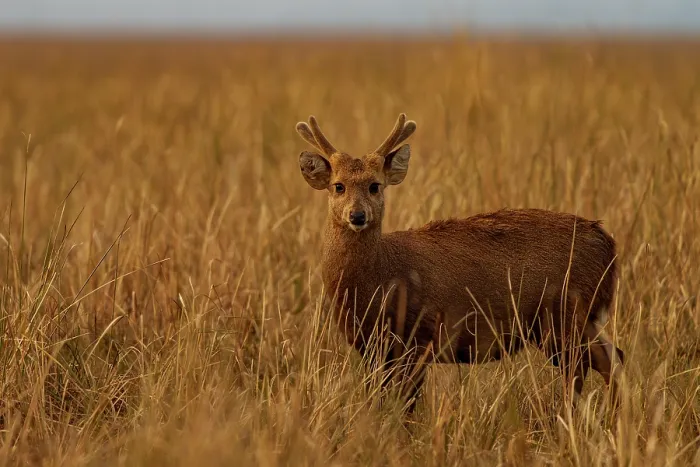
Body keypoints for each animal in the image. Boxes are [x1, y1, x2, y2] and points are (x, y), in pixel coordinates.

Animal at [295, 113, 624, 414]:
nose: (358, 215)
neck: (380, 278)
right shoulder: (372, 347)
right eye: (338, 186)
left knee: (586, 367)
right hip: (574, 317)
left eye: (375, 186)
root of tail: (606, 243)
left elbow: (407, 404)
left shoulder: (419, 334)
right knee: (612, 357)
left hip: (563, 313)